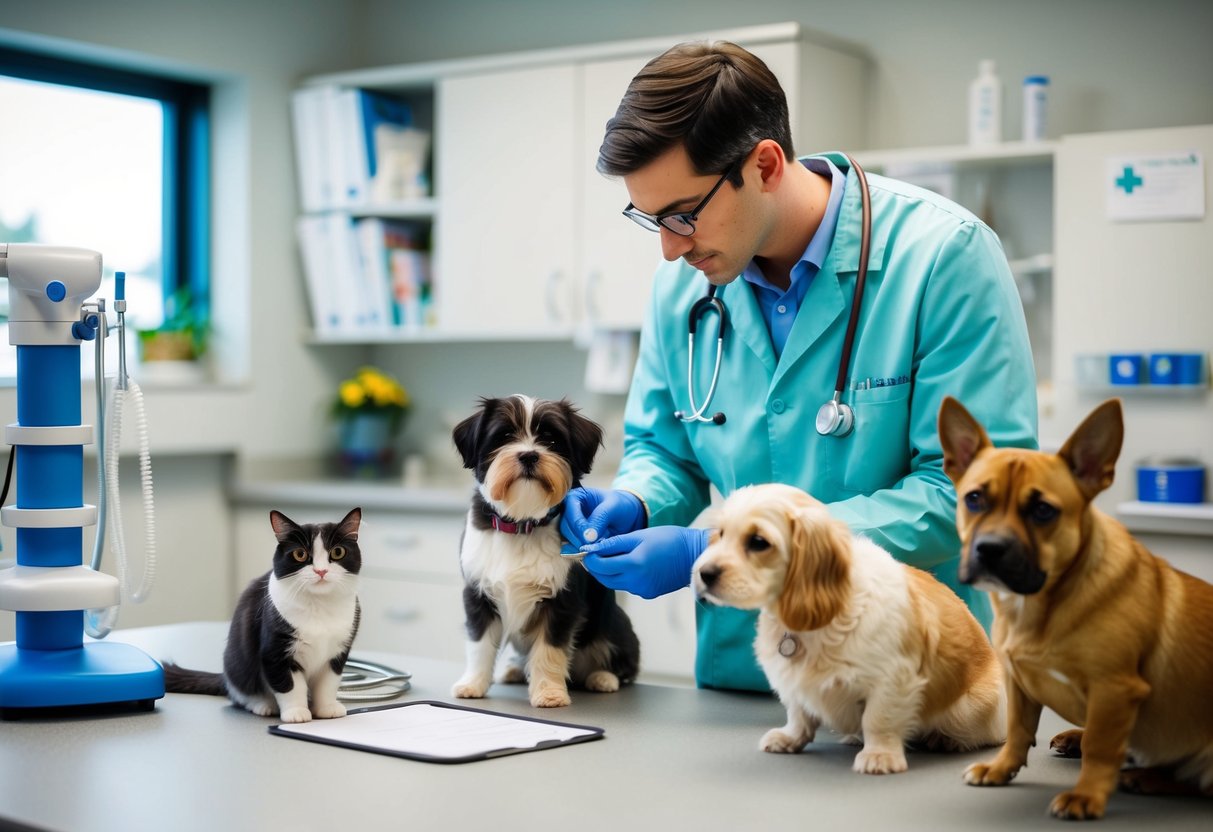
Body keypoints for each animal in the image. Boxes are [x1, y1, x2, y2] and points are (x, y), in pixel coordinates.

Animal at [160, 509, 363, 722]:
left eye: (338, 552)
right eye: (300, 554)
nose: (321, 570)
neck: (319, 605)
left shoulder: (338, 651)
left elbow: (328, 683)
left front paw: (327, 707)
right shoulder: (275, 650)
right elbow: (288, 685)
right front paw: (296, 712)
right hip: (237, 665)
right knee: (241, 693)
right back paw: (262, 704)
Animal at [453, 395, 645, 708]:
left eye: (551, 440)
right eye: (504, 436)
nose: (529, 456)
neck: (523, 524)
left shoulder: (561, 601)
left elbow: (549, 650)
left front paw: (549, 693)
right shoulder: (477, 594)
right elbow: (479, 645)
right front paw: (472, 684)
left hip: (617, 625)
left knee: (621, 662)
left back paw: (603, 678)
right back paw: (515, 670)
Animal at [693, 482, 1004, 776]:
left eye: (758, 542)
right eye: (721, 534)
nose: (703, 574)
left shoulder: (892, 682)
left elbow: (878, 720)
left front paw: (879, 755)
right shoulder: (794, 684)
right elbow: (798, 714)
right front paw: (790, 737)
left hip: (971, 710)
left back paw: (948, 739)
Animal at [936, 397, 1213, 819]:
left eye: (1043, 511)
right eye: (974, 499)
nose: (990, 548)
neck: (1041, 604)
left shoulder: (1114, 690)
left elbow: (1101, 748)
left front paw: (1087, 795)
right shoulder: (1018, 683)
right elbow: (1018, 731)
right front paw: (1001, 768)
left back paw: (1147, 777)